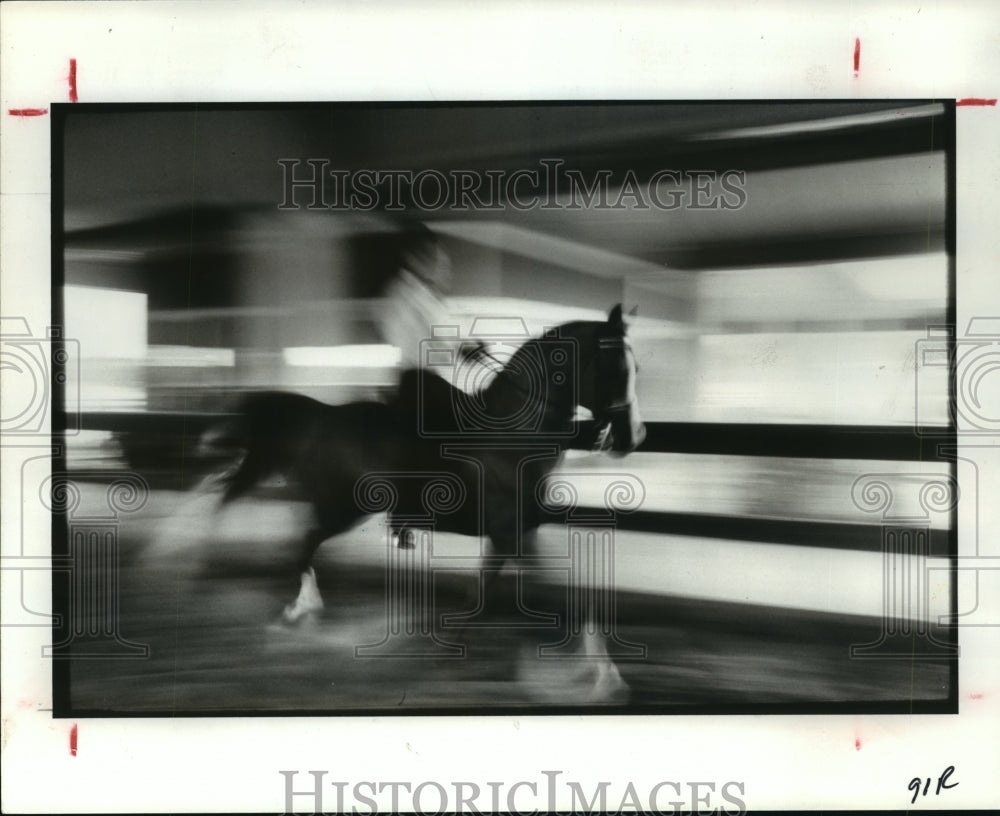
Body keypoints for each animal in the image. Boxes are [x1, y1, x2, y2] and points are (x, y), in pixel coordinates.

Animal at [215, 306, 644, 624]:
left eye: (636, 369)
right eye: (616, 369)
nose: (633, 437)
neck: (515, 434)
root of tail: (322, 415)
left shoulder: (517, 531)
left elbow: (492, 585)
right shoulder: (509, 530)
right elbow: (547, 589)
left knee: (305, 541)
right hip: (344, 507)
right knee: (305, 542)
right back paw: (303, 604)